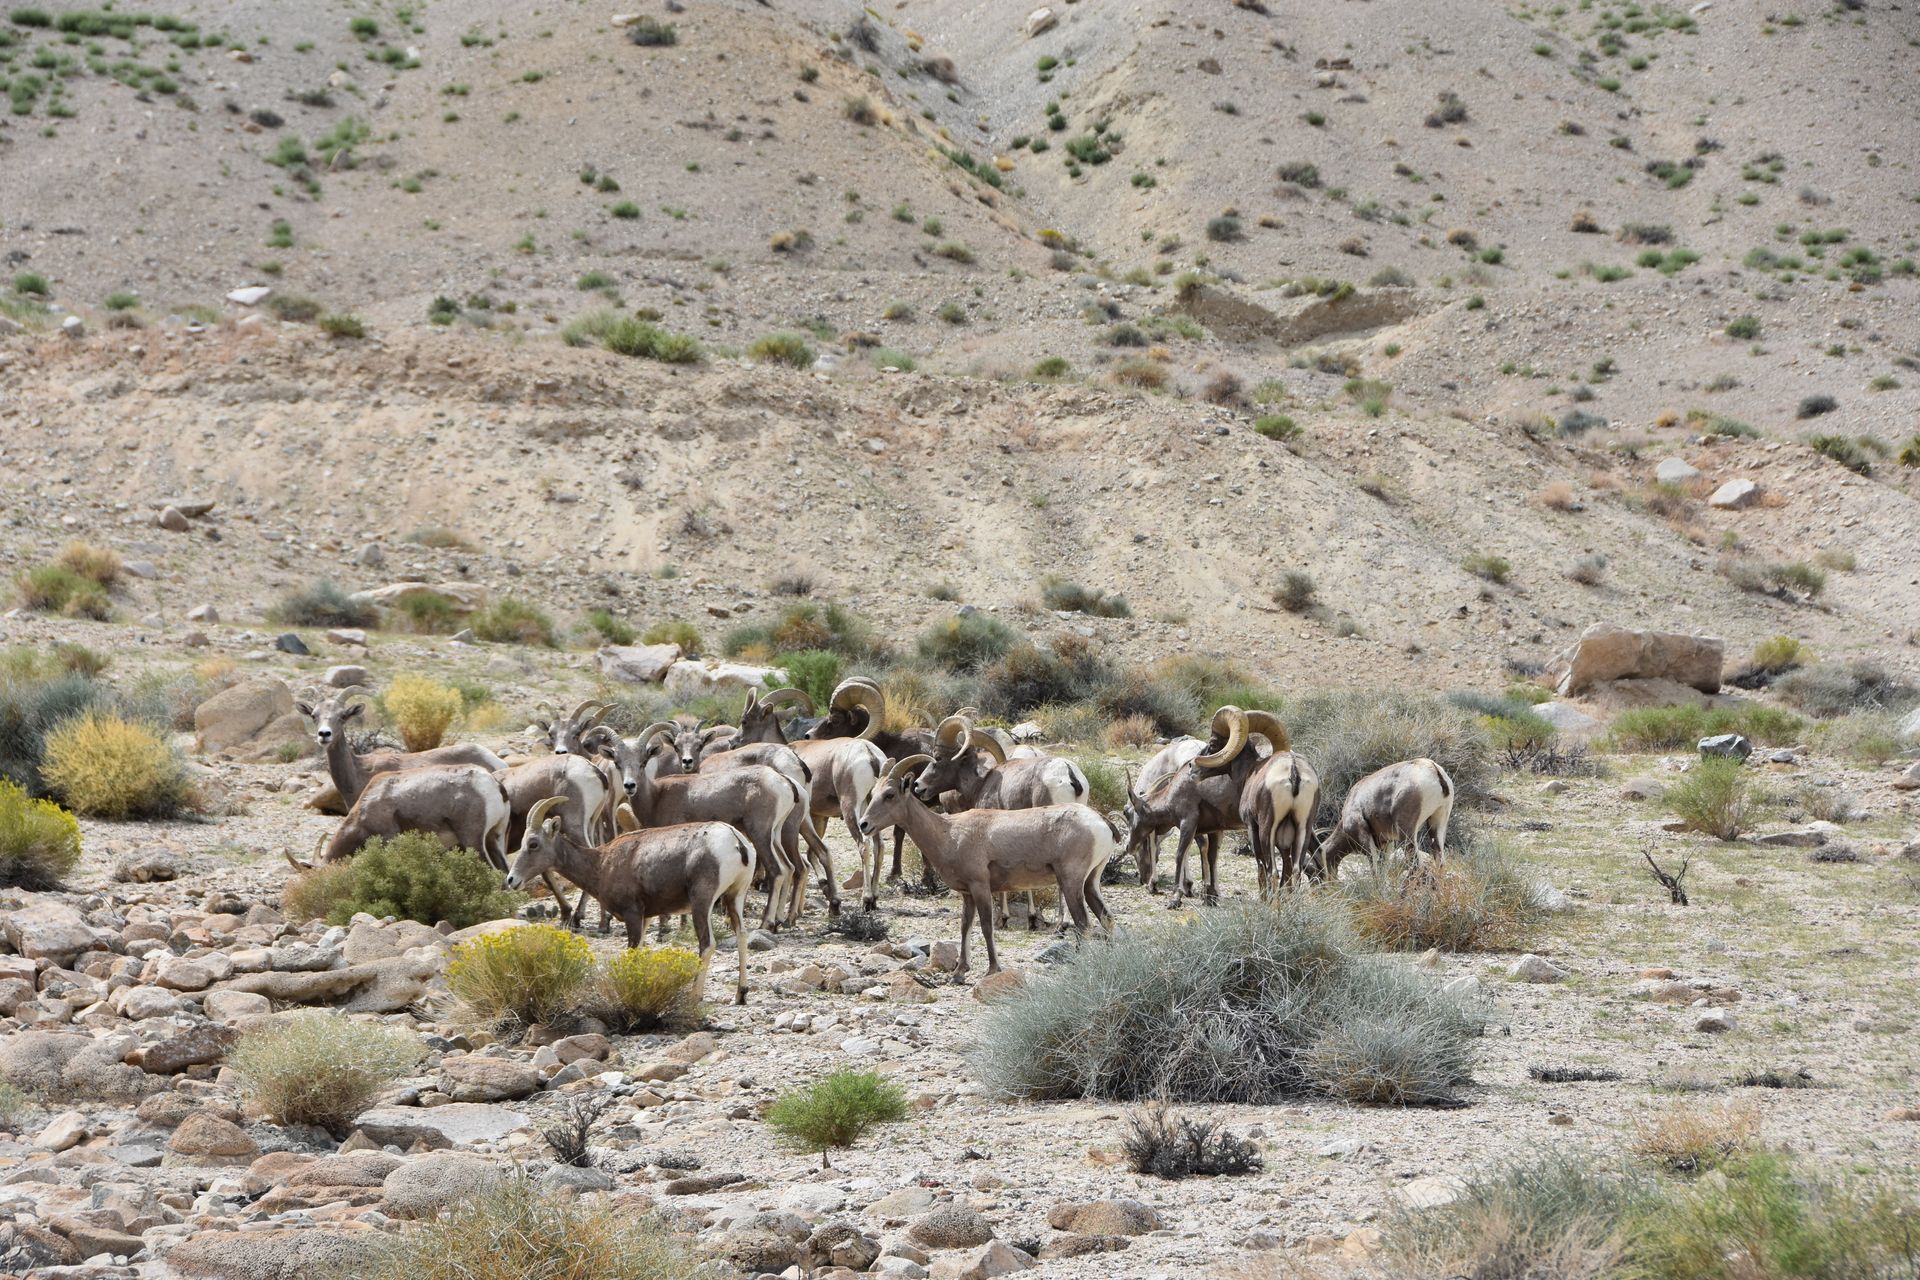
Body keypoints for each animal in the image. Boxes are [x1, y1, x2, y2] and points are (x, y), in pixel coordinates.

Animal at [507, 796, 754, 1005]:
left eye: (533, 844)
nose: (511, 880)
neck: (601, 864)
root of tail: (737, 841)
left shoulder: (632, 914)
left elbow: (632, 951)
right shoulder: (645, 918)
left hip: (701, 902)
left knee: (707, 943)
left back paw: (694, 997)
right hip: (735, 896)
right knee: (741, 935)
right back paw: (740, 994)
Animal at [856, 756, 1116, 978]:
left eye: (890, 794)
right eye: (873, 793)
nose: (864, 824)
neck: (949, 834)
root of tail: (1100, 823)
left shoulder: (980, 887)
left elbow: (986, 926)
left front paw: (992, 969)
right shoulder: (967, 894)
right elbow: (965, 927)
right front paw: (959, 972)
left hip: (1071, 882)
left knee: (1083, 924)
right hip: (1090, 882)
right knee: (1106, 918)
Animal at [1315, 758, 1454, 877]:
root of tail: (1433, 768)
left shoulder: (1365, 837)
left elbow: (1374, 869)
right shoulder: (1386, 843)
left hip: (1407, 833)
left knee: (1416, 865)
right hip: (1438, 822)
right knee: (1439, 860)